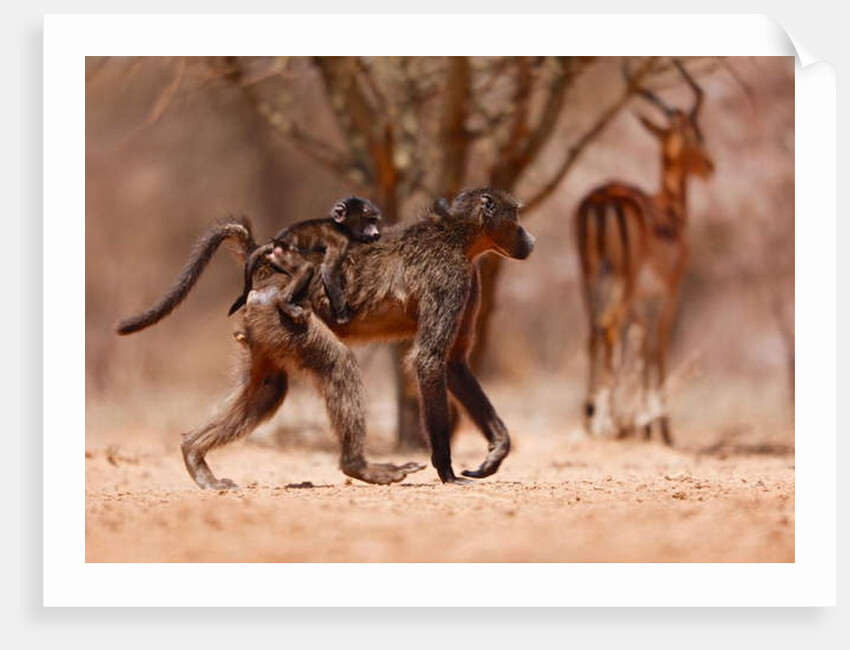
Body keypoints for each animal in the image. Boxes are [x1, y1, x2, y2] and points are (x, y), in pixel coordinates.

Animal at [227, 197, 382, 325]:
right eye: (368, 220)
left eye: (374, 221)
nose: (376, 233)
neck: (340, 226)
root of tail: (276, 243)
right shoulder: (340, 240)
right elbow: (329, 270)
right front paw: (343, 317)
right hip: (284, 255)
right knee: (305, 268)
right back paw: (284, 303)